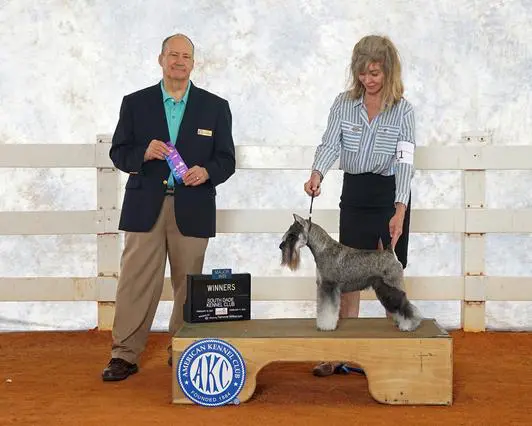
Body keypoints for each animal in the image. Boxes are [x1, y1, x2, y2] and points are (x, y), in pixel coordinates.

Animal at [280, 213, 422, 332]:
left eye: (292, 235)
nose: (281, 246)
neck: (323, 249)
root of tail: (390, 253)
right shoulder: (325, 287)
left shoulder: (328, 286)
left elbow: (327, 309)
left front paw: (325, 326)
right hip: (383, 288)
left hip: (391, 287)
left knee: (405, 305)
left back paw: (409, 324)